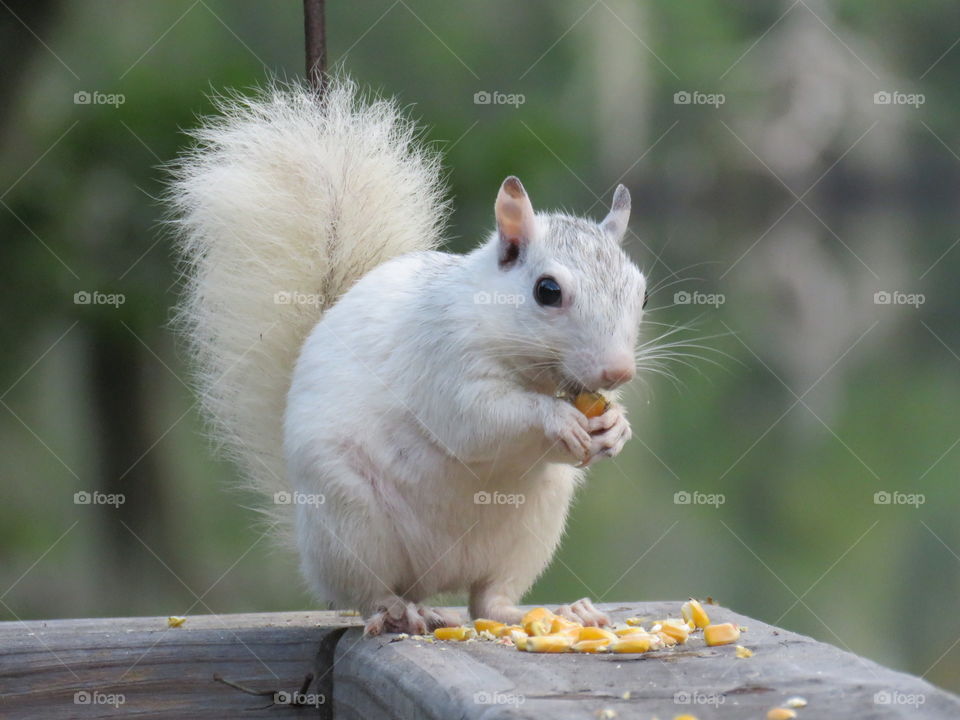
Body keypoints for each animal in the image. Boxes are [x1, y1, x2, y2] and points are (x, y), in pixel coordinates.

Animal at [169, 77, 647, 635]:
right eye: (547, 291)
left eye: (642, 294)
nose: (618, 371)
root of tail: (437, 575)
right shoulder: (442, 359)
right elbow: (478, 419)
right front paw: (557, 419)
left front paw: (616, 426)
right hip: (352, 520)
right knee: (369, 592)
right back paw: (399, 611)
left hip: (532, 530)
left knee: (489, 601)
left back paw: (558, 612)